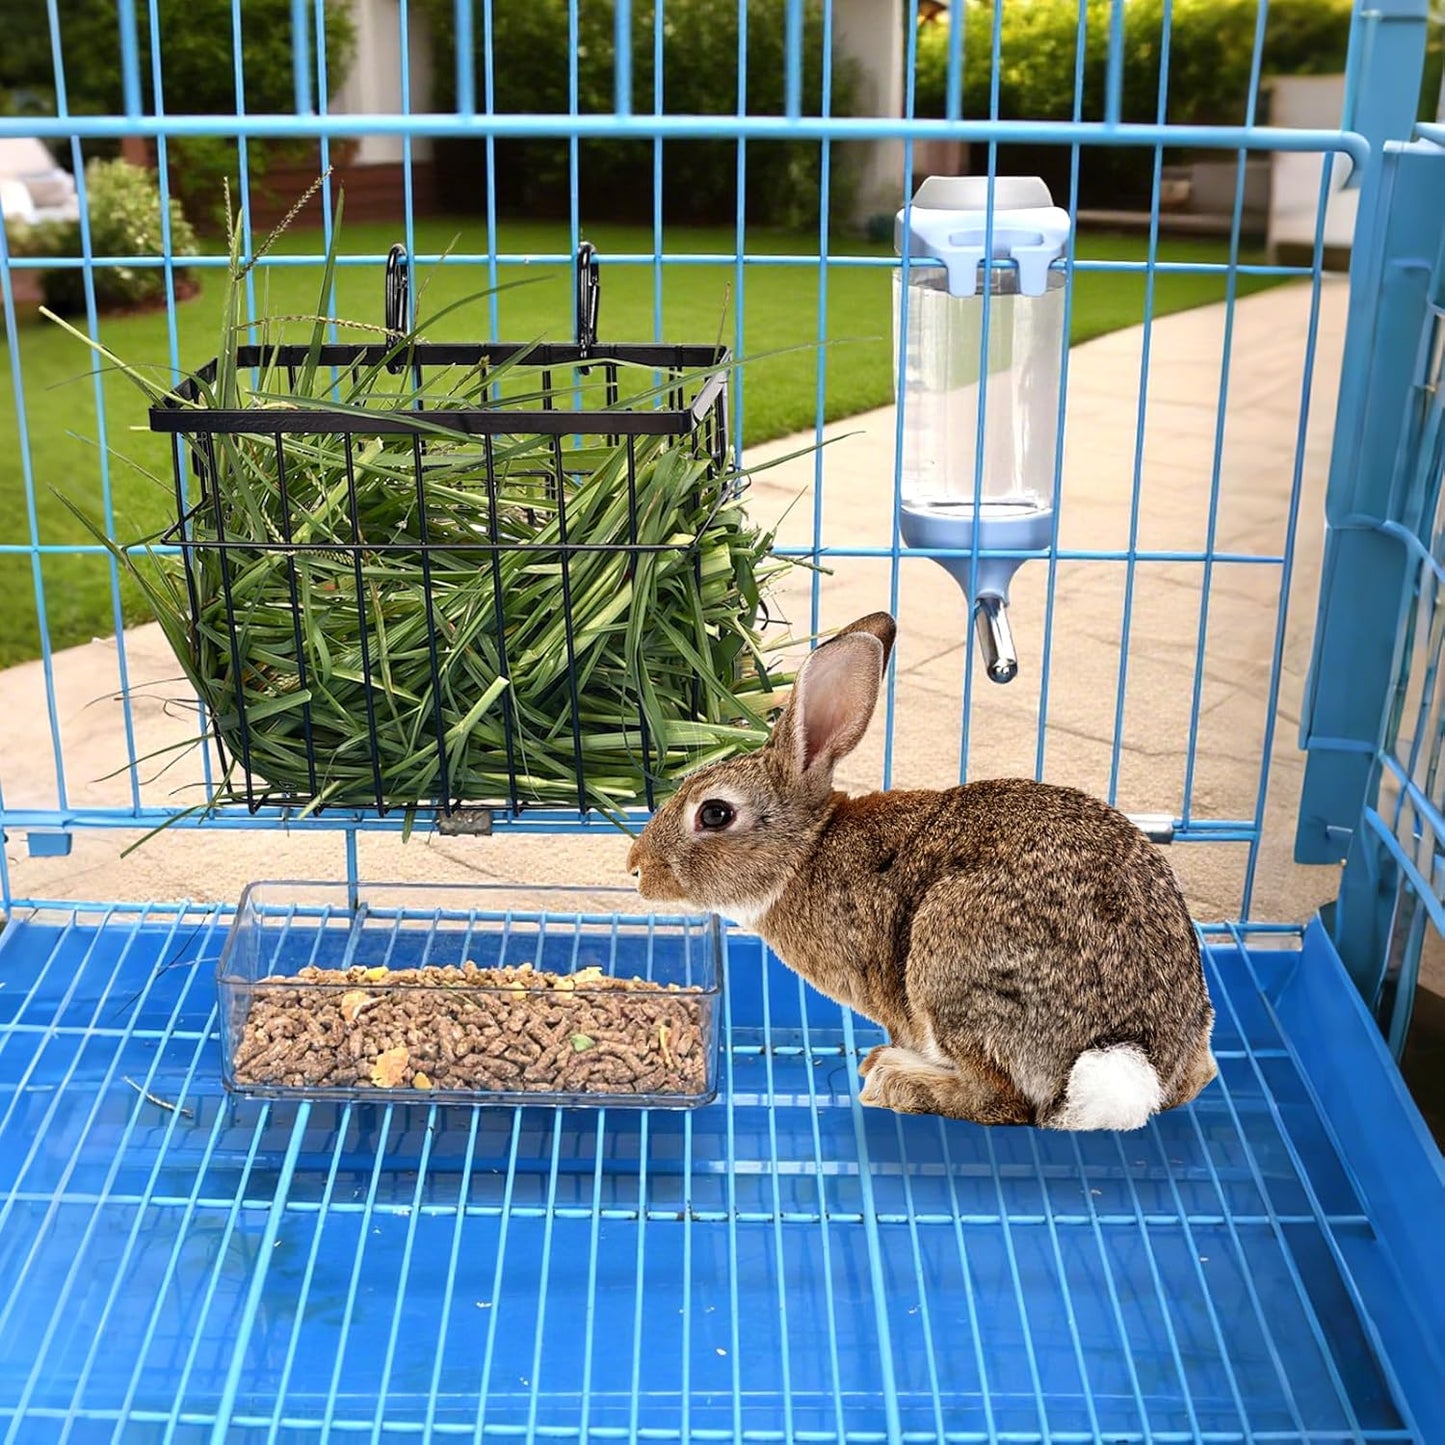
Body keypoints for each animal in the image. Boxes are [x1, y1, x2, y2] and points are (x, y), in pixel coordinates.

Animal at [627, 611, 1217, 1130]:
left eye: (714, 813)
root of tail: (1130, 1054)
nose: (636, 868)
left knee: (1005, 1102)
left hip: (949, 958)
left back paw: (892, 1078)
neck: (806, 852)